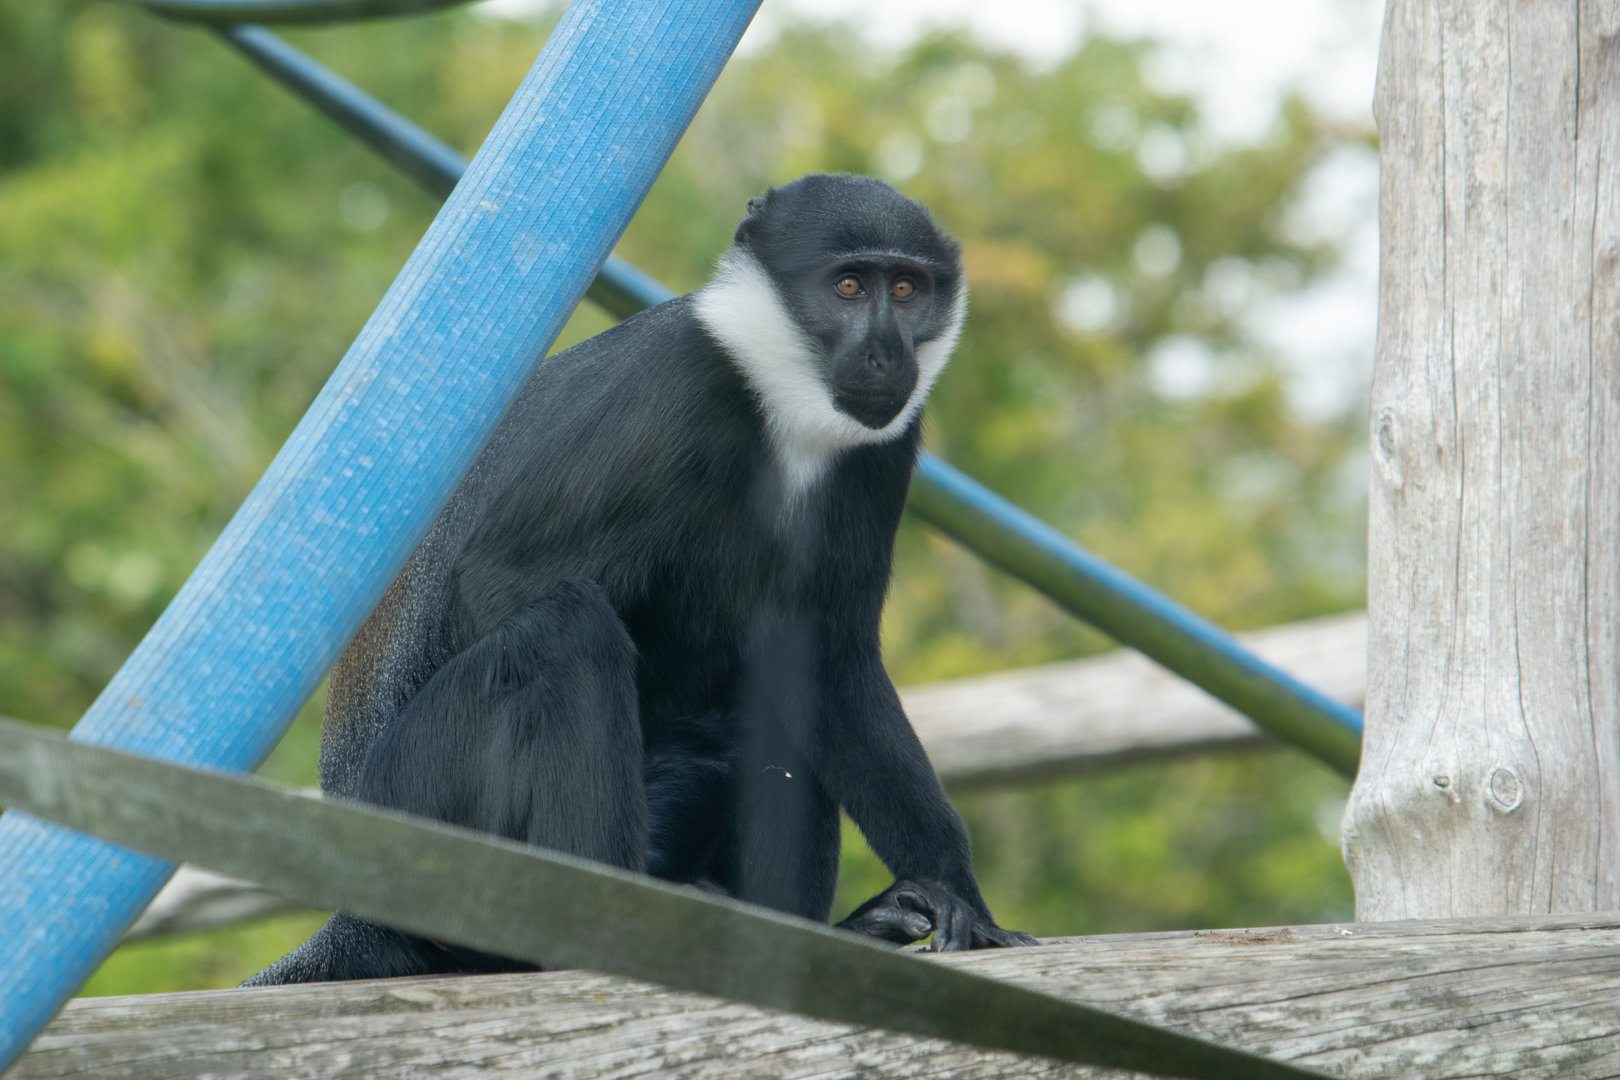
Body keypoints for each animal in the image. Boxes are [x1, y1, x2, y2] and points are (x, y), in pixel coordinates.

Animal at [245, 173, 1036, 986]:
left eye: (907, 289)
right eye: (849, 286)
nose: (885, 353)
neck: (777, 397)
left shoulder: (885, 446)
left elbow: (827, 661)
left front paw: (958, 897)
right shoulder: (675, 386)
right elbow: (499, 576)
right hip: (424, 807)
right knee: (565, 628)